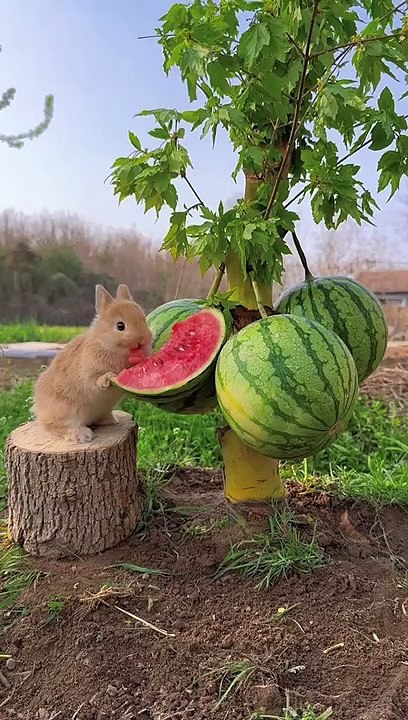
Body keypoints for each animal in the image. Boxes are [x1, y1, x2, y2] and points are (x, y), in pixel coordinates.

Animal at [34, 284, 152, 444]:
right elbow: (95, 381)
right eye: (120, 326)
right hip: (65, 411)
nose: (143, 340)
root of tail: (39, 408)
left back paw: (111, 420)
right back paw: (81, 435)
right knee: (56, 425)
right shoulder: (89, 373)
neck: (106, 342)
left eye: (143, 319)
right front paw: (106, 378)